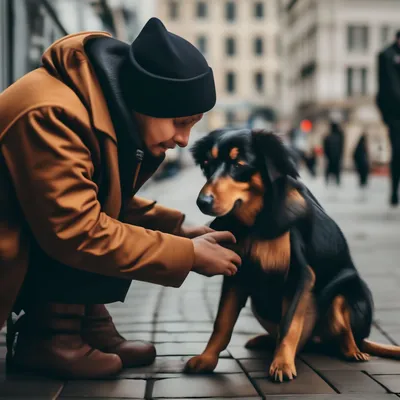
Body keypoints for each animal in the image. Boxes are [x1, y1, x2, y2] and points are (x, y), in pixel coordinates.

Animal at [184, 127, 400, 382]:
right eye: (208, 164)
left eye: (238, 164)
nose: (202, 202)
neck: (256, 222)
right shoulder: (237, 274)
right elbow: (222, 322)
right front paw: (207, 359)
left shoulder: (300, 275)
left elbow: (290, 324)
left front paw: (282, 364)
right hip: (259, 303)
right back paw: (265, 340)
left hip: (347, 291)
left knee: (345, 331)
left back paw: (352, 351)